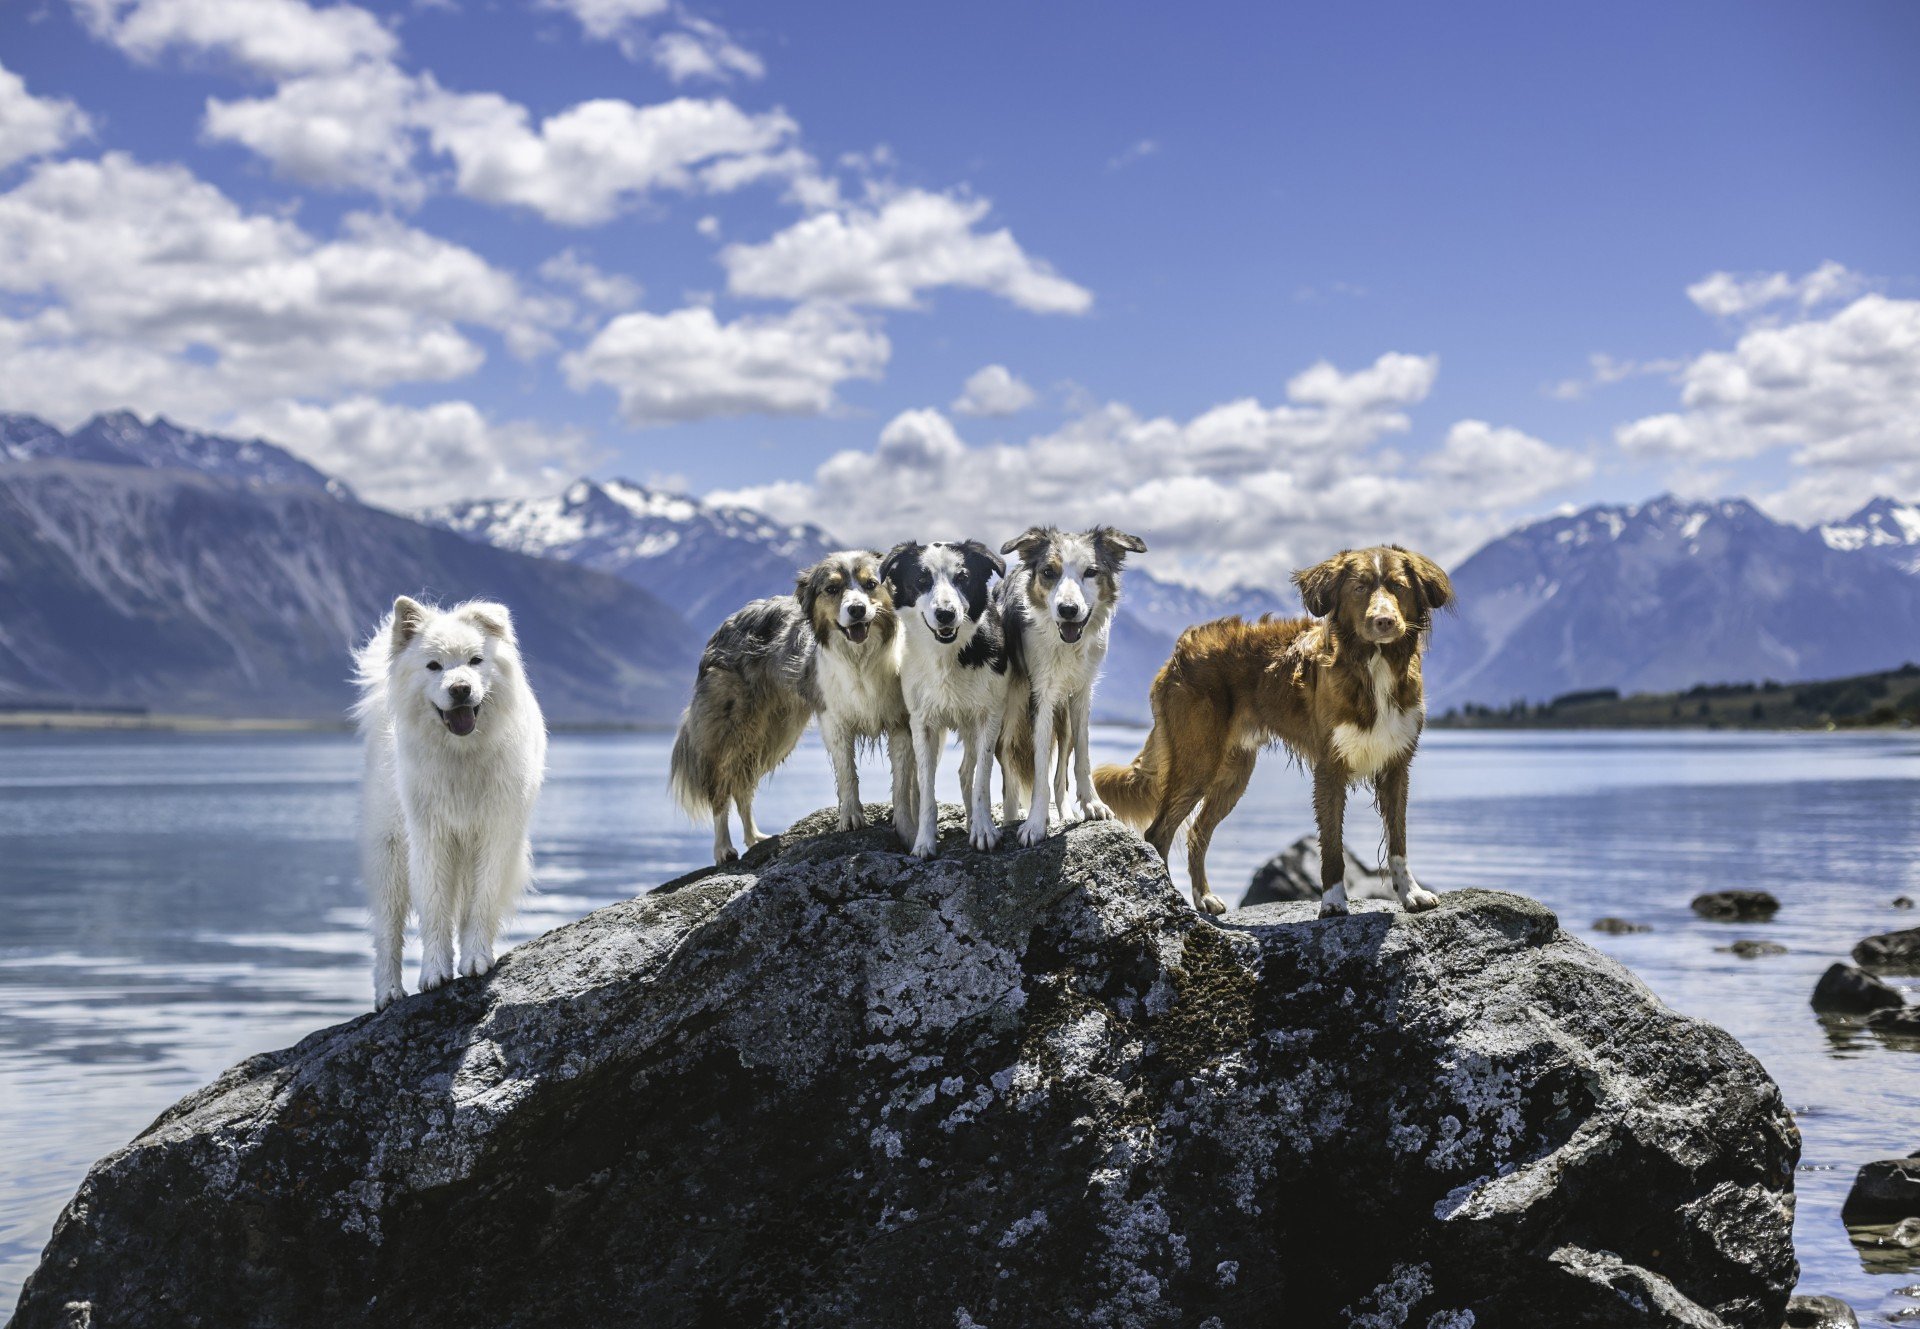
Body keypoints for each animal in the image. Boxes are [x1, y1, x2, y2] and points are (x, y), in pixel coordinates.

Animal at [353, 595, 545, 1006]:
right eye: (434, 666)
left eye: (475, 660)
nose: (460, 689)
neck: (462, 754)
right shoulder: (431, 837)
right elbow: (434, 908)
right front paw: (434, 972)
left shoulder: (495, 834)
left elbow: (482, 902)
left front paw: (475, 959)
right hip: (389, 855)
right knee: (387, 932)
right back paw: (389, 992)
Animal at [1098, 541, 1451, 914]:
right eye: (1359, 588)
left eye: (1399, 586)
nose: (1384, 621)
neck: (1373, 664)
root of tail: (1178, 653)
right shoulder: (1330, 767)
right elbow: (1332, 846)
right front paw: (1333, 903)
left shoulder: (1397, 766)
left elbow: (1398, 839)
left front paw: (1410, 893)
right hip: (1198, 761)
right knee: (1158, 834)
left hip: (1232, 774)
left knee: (1197, 833)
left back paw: (1204, 897)